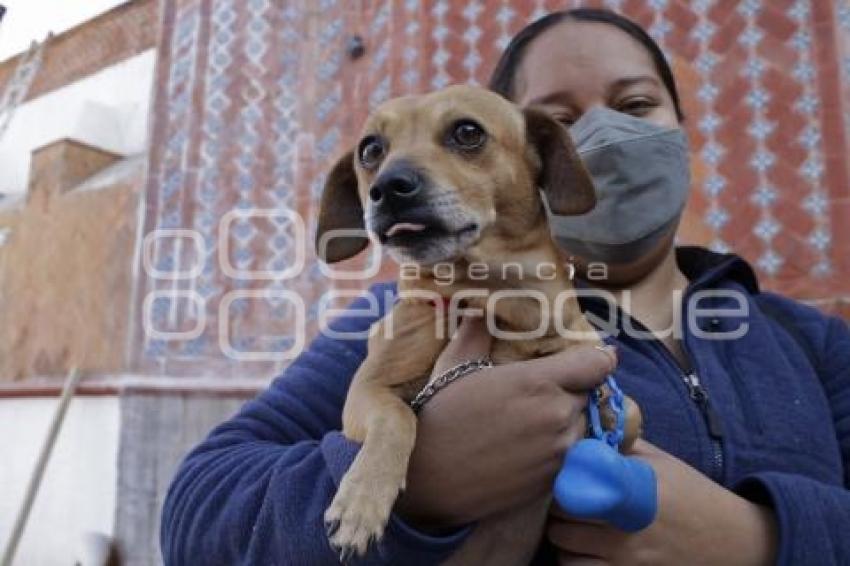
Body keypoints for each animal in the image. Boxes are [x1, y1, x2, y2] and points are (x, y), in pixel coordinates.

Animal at [316, 84, 636, 564]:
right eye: (371, 149)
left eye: (467, 132)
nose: (387, 187)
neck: (495, 300)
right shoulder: (366, 391)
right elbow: (396, 416)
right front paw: (362, 499)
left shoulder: (606, 382)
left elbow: (623, 415)